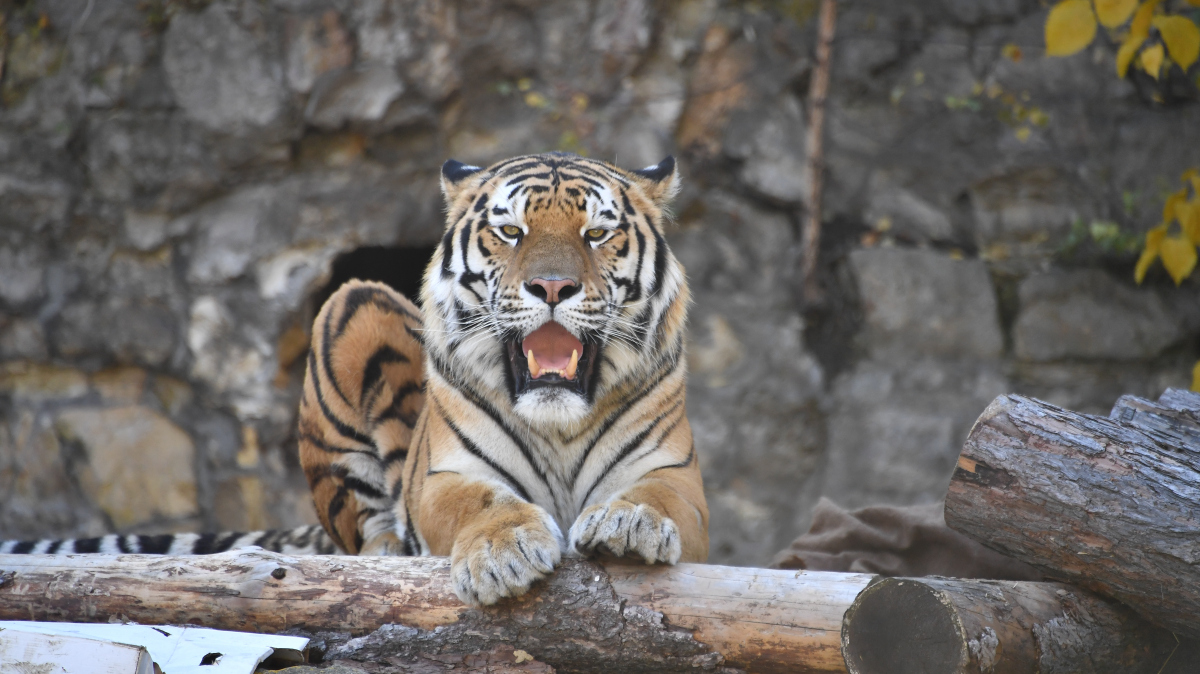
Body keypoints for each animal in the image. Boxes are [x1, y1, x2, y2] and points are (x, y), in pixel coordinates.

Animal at [0, 152, 705, 604]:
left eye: (597, 234)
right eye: (511, 231)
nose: (553, 287)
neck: (556, 422)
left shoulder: (675, 476)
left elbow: (657, 498)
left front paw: (630, 527)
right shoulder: (446, 477)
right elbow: (483, 502)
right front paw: (504, 552)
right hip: (350, 306)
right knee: (360, 531)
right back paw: (387, 553)